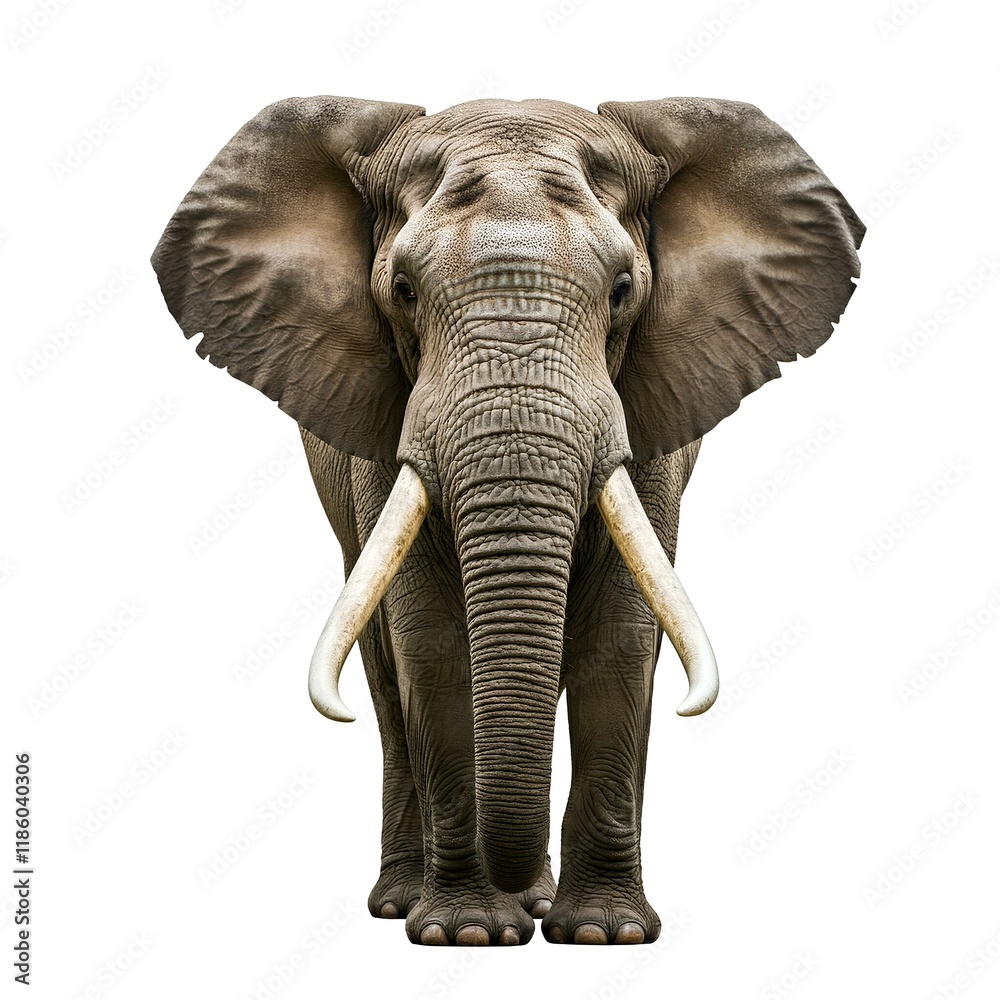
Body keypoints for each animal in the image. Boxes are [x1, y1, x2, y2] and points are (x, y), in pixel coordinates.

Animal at [151, 95, 863, 946]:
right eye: (403, 290)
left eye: (623, 290)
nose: (519, 901)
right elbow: (431, 641)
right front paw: (465, 932)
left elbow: (622, 638)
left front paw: (602, 933)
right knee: (385, 677)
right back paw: (411, 900)